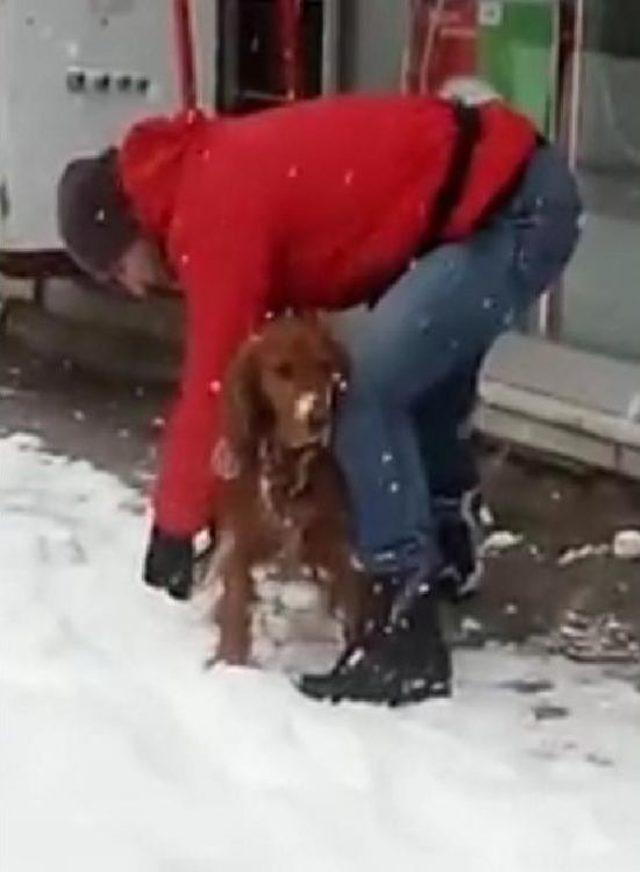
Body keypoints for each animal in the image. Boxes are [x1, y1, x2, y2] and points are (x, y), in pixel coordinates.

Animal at [211, 314, 364, 660]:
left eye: (325, 365)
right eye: (282, 370)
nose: (319, 419)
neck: (289, 470)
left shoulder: (333, 541)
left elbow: (349, 598)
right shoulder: (242, 542)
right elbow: (235, 604)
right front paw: (230, 662)